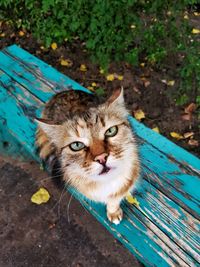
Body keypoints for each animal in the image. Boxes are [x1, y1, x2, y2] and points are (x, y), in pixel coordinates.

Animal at [35, 87, 139, 224]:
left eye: (111, 131)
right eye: (76, 145)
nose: (102, 158)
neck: (107, 183)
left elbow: (115, 199)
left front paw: (113, 211)